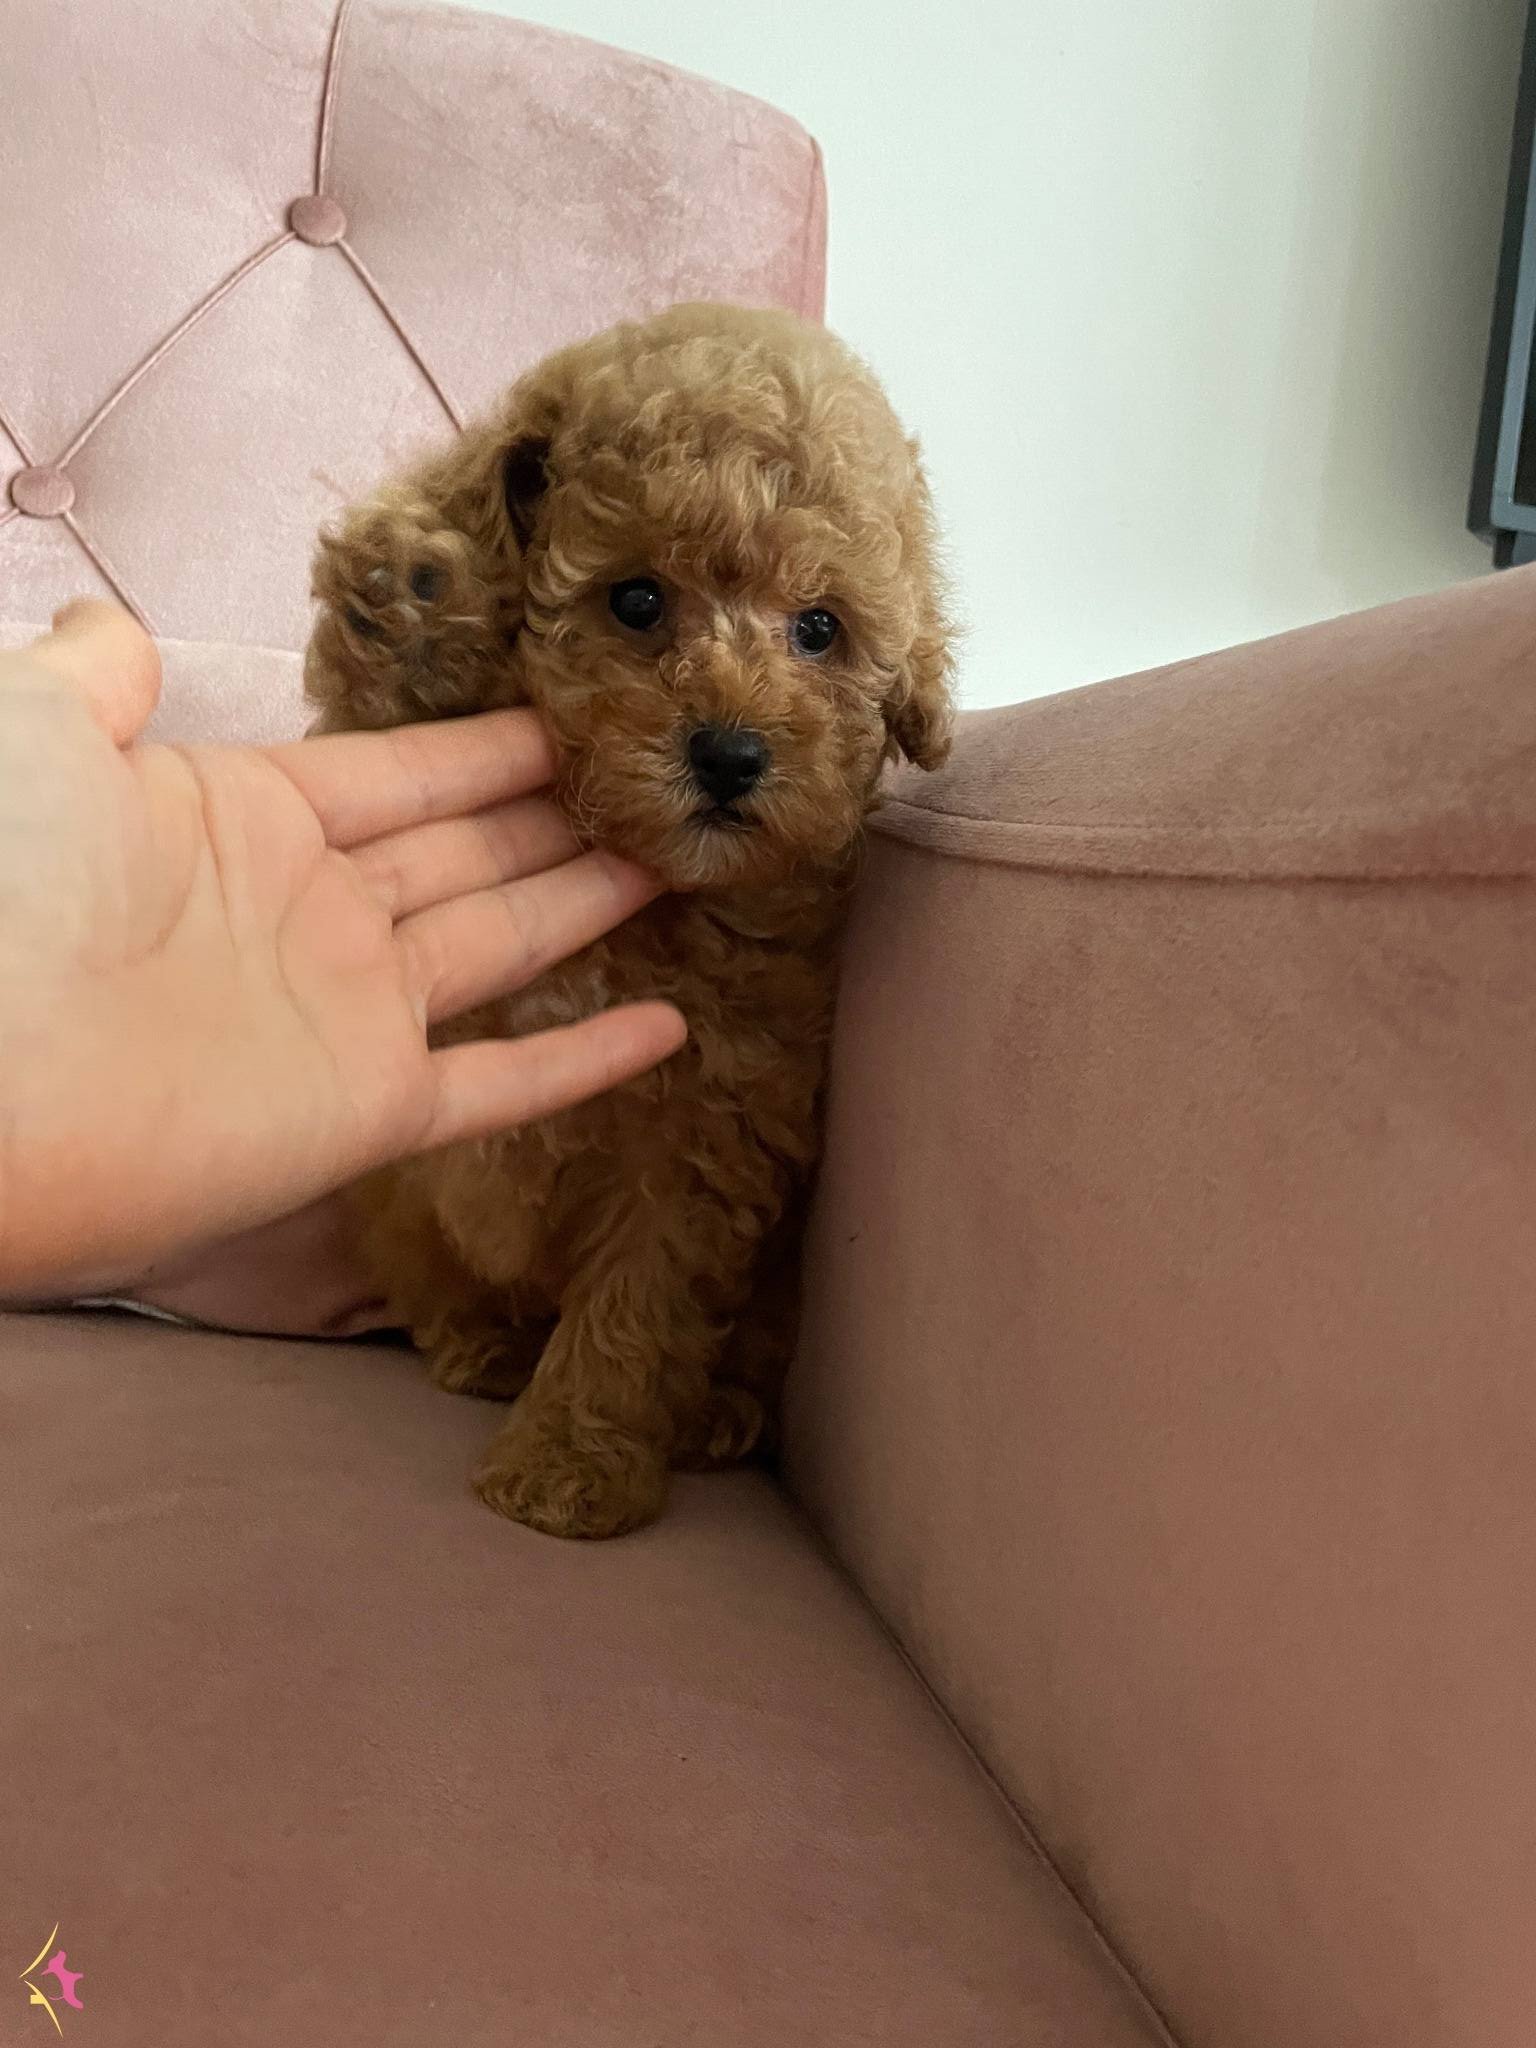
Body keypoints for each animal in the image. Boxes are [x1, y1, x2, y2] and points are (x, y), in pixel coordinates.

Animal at [305, 301, 953, 1537]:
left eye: (819, 629)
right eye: (638, 600)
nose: (732, 753)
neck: (654, 883)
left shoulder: (705, 1130)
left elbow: (637, 1307)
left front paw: (569, 1467)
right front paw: (414, 604)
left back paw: (712, 1417)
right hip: (400, 1208)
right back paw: (487, 1345)